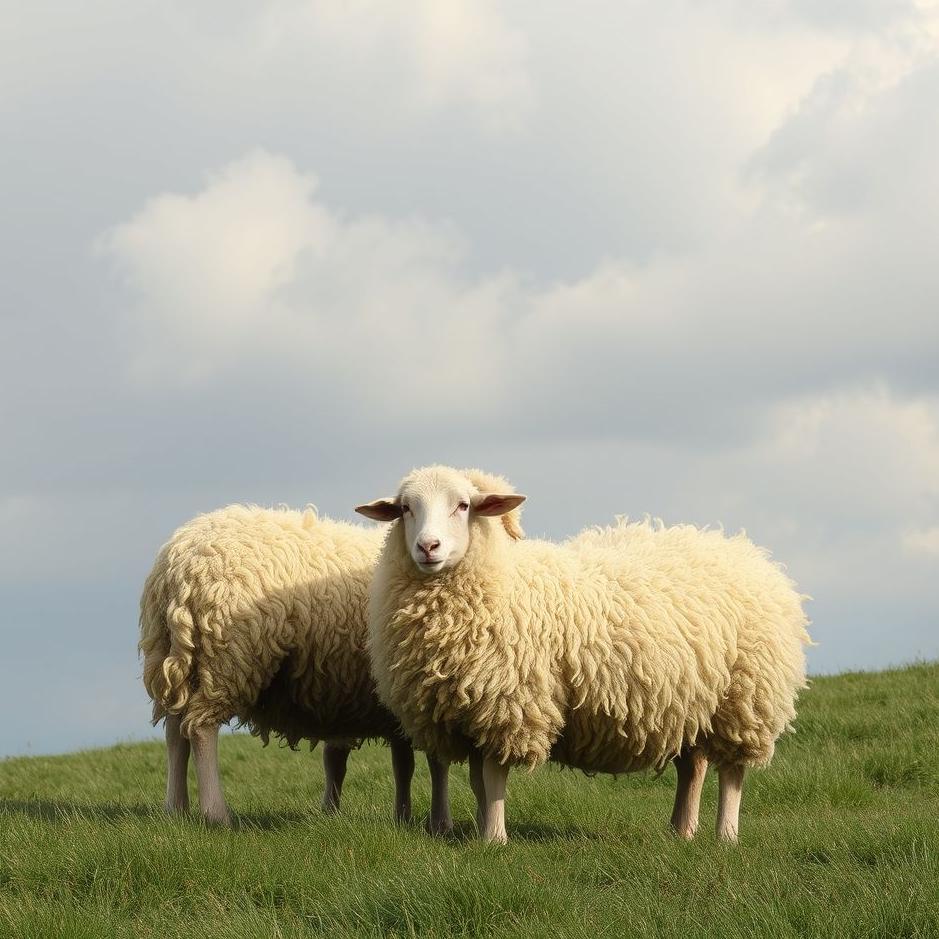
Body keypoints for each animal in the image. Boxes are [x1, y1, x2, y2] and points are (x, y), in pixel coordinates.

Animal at [139, 503, 452, 830]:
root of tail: (179, 563)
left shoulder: (367, 697)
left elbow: (384, 762)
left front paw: (392, 816)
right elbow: (432, 762)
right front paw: (437, 821)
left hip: (173, 654)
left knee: (175, 732)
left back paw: (175, 808)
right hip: (229, 658)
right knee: (201, 729)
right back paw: (216, 814)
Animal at [357, 466, 811, 844]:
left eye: (463, 505)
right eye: (405, 509)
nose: (427, 547)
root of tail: (749, 552)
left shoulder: (510, 705)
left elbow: (493, 775)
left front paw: (494, 840)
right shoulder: (464, 714)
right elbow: (476, 781)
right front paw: (484, 830)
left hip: (744, 700)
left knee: (732, 773)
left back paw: (725, 837)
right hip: (691, 703)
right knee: (693, 767)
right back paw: (681, 831)